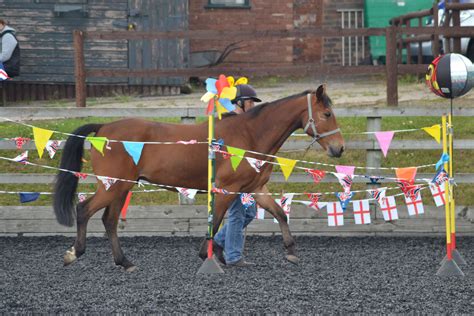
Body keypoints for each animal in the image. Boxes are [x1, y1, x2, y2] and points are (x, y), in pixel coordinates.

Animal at [53, 84, 344, 272]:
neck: (250, 134)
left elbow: (280, 214)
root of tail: (103, 127)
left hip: (120, 187)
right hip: (113, 186)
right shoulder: (226, 190)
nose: (338, 148)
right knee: (84, 210)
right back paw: (73, 254)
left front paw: (291, 252)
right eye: (327, 114)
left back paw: (125, 262)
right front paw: (208, 255)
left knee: (109, 220)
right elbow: (215, 224)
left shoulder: (257, 189)